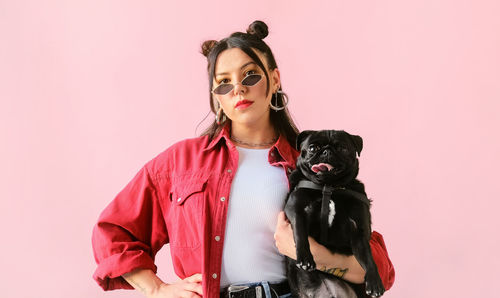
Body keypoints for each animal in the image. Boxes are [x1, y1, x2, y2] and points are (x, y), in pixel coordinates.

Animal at [284, 129, 384, 296]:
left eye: (342, 148)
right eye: (312, 148)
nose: (327, 151)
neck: (329, 187)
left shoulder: (359, 231)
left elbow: (368, 257)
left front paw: (374, 281)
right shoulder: (295, 210)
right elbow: (300, 232)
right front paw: (305, 258)